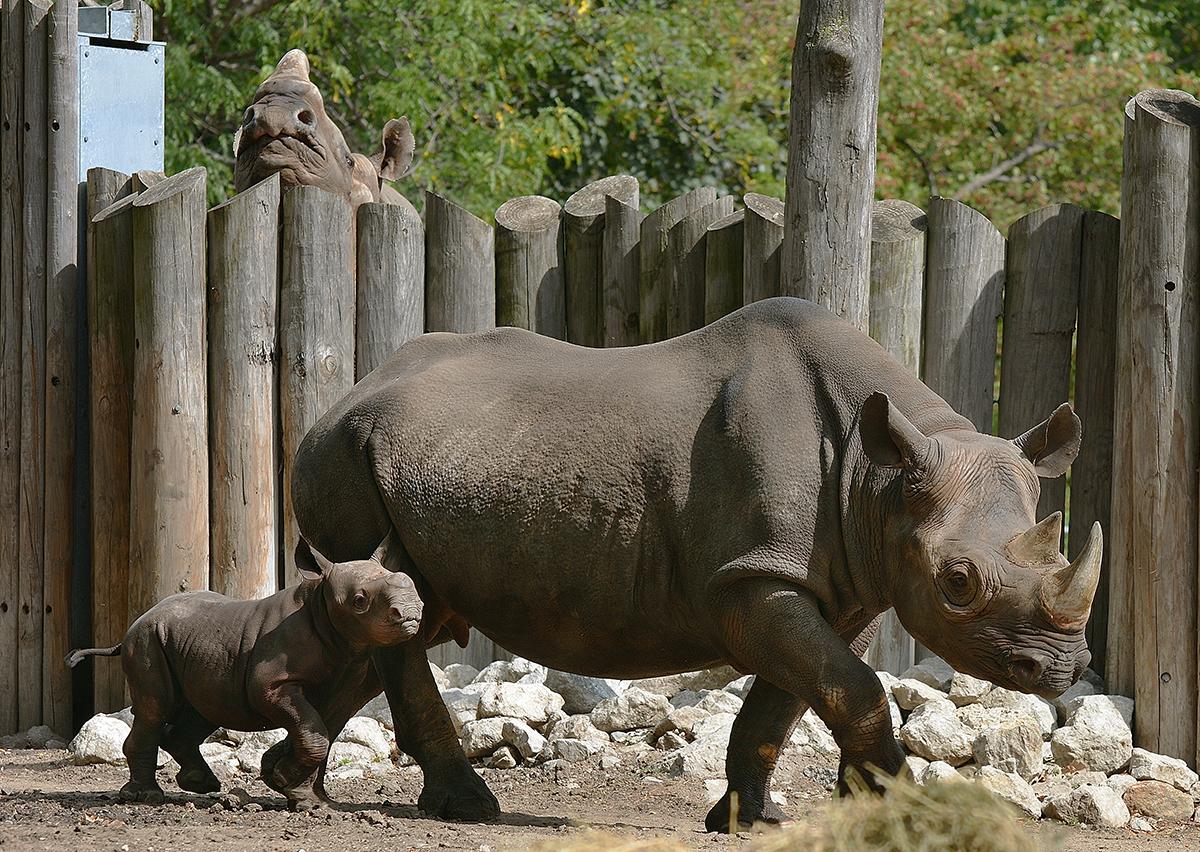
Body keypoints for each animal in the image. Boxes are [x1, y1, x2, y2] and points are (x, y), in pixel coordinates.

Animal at [289, 297, 1101, 831]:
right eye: (958, 582)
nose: (1060, 667)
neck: (879, 478)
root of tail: (341, 396)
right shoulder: (751, 579)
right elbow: (852, 687)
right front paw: (898, 811)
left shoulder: (842, 586)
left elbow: (796, 696)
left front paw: (756, 819)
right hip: (343, 456)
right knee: (396, 617)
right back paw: (465, 809)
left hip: (408, 458)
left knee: (404, 614)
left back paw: (296, 785)